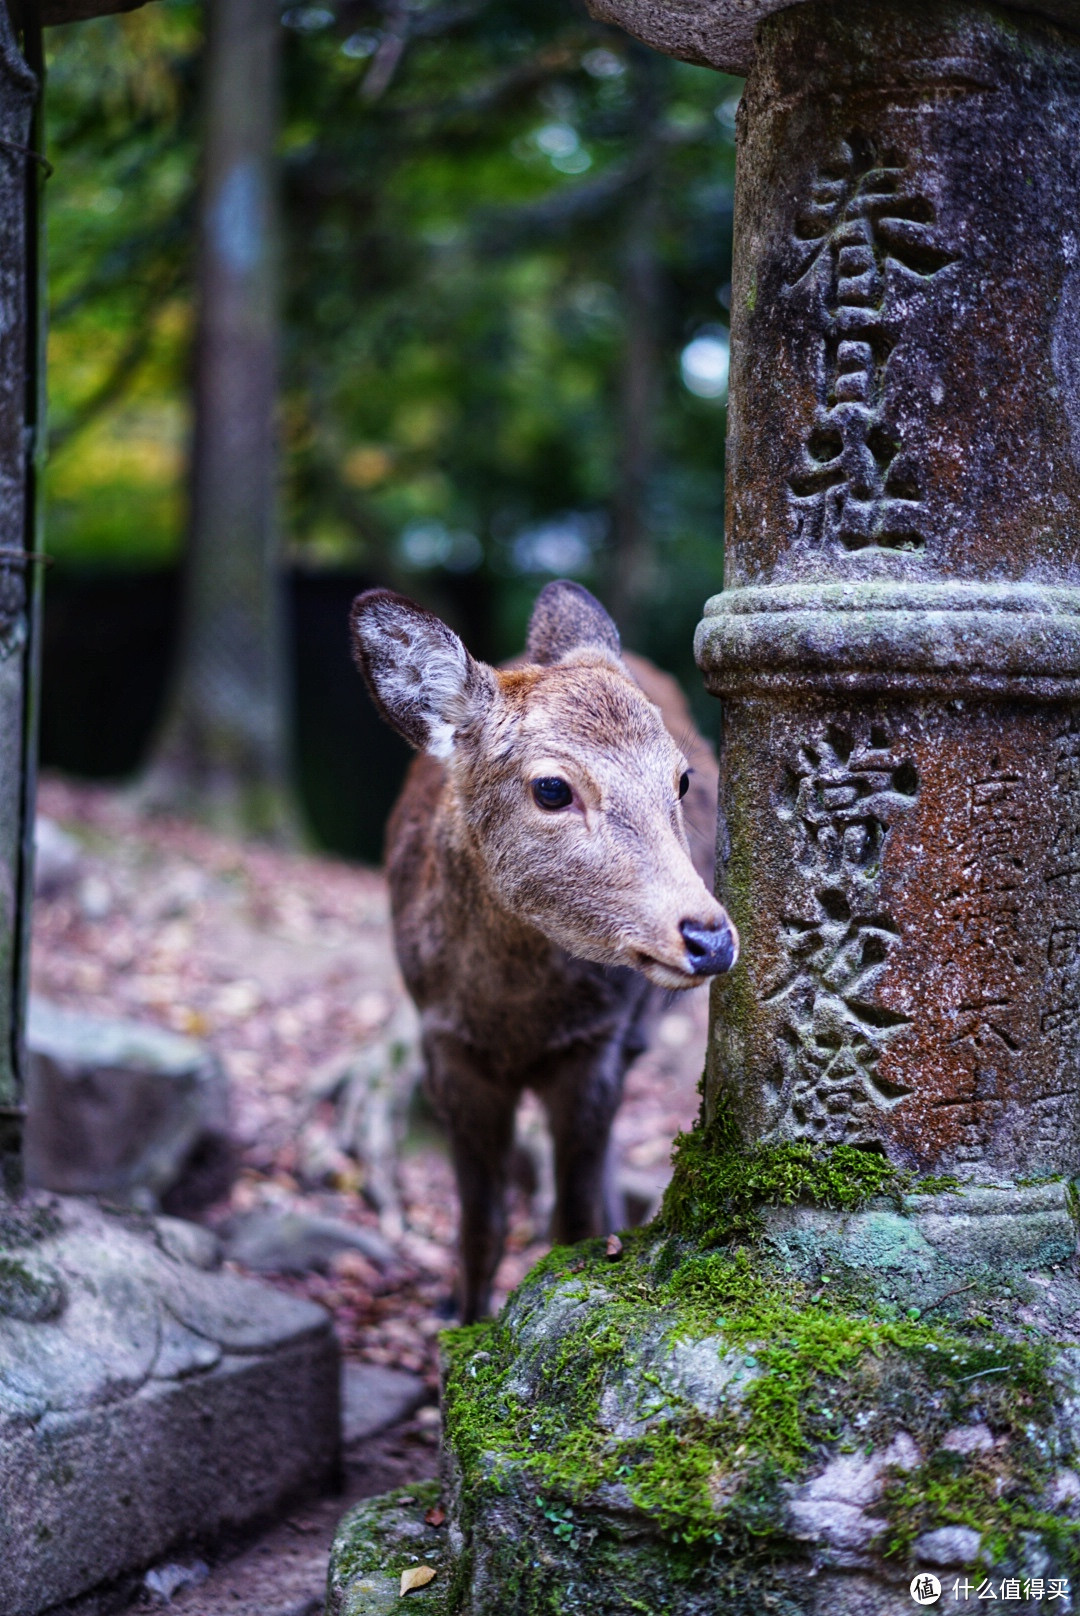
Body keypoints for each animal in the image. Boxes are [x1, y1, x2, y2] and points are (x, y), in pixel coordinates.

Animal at [350, 575, 737, 1318]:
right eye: (553, 787)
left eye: (681, 780)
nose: (709, 937)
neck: (513, 1017)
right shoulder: (445, 1044)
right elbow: (480, 1226)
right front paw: (459, 1322)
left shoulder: (593, 1045)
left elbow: (573, 1221)